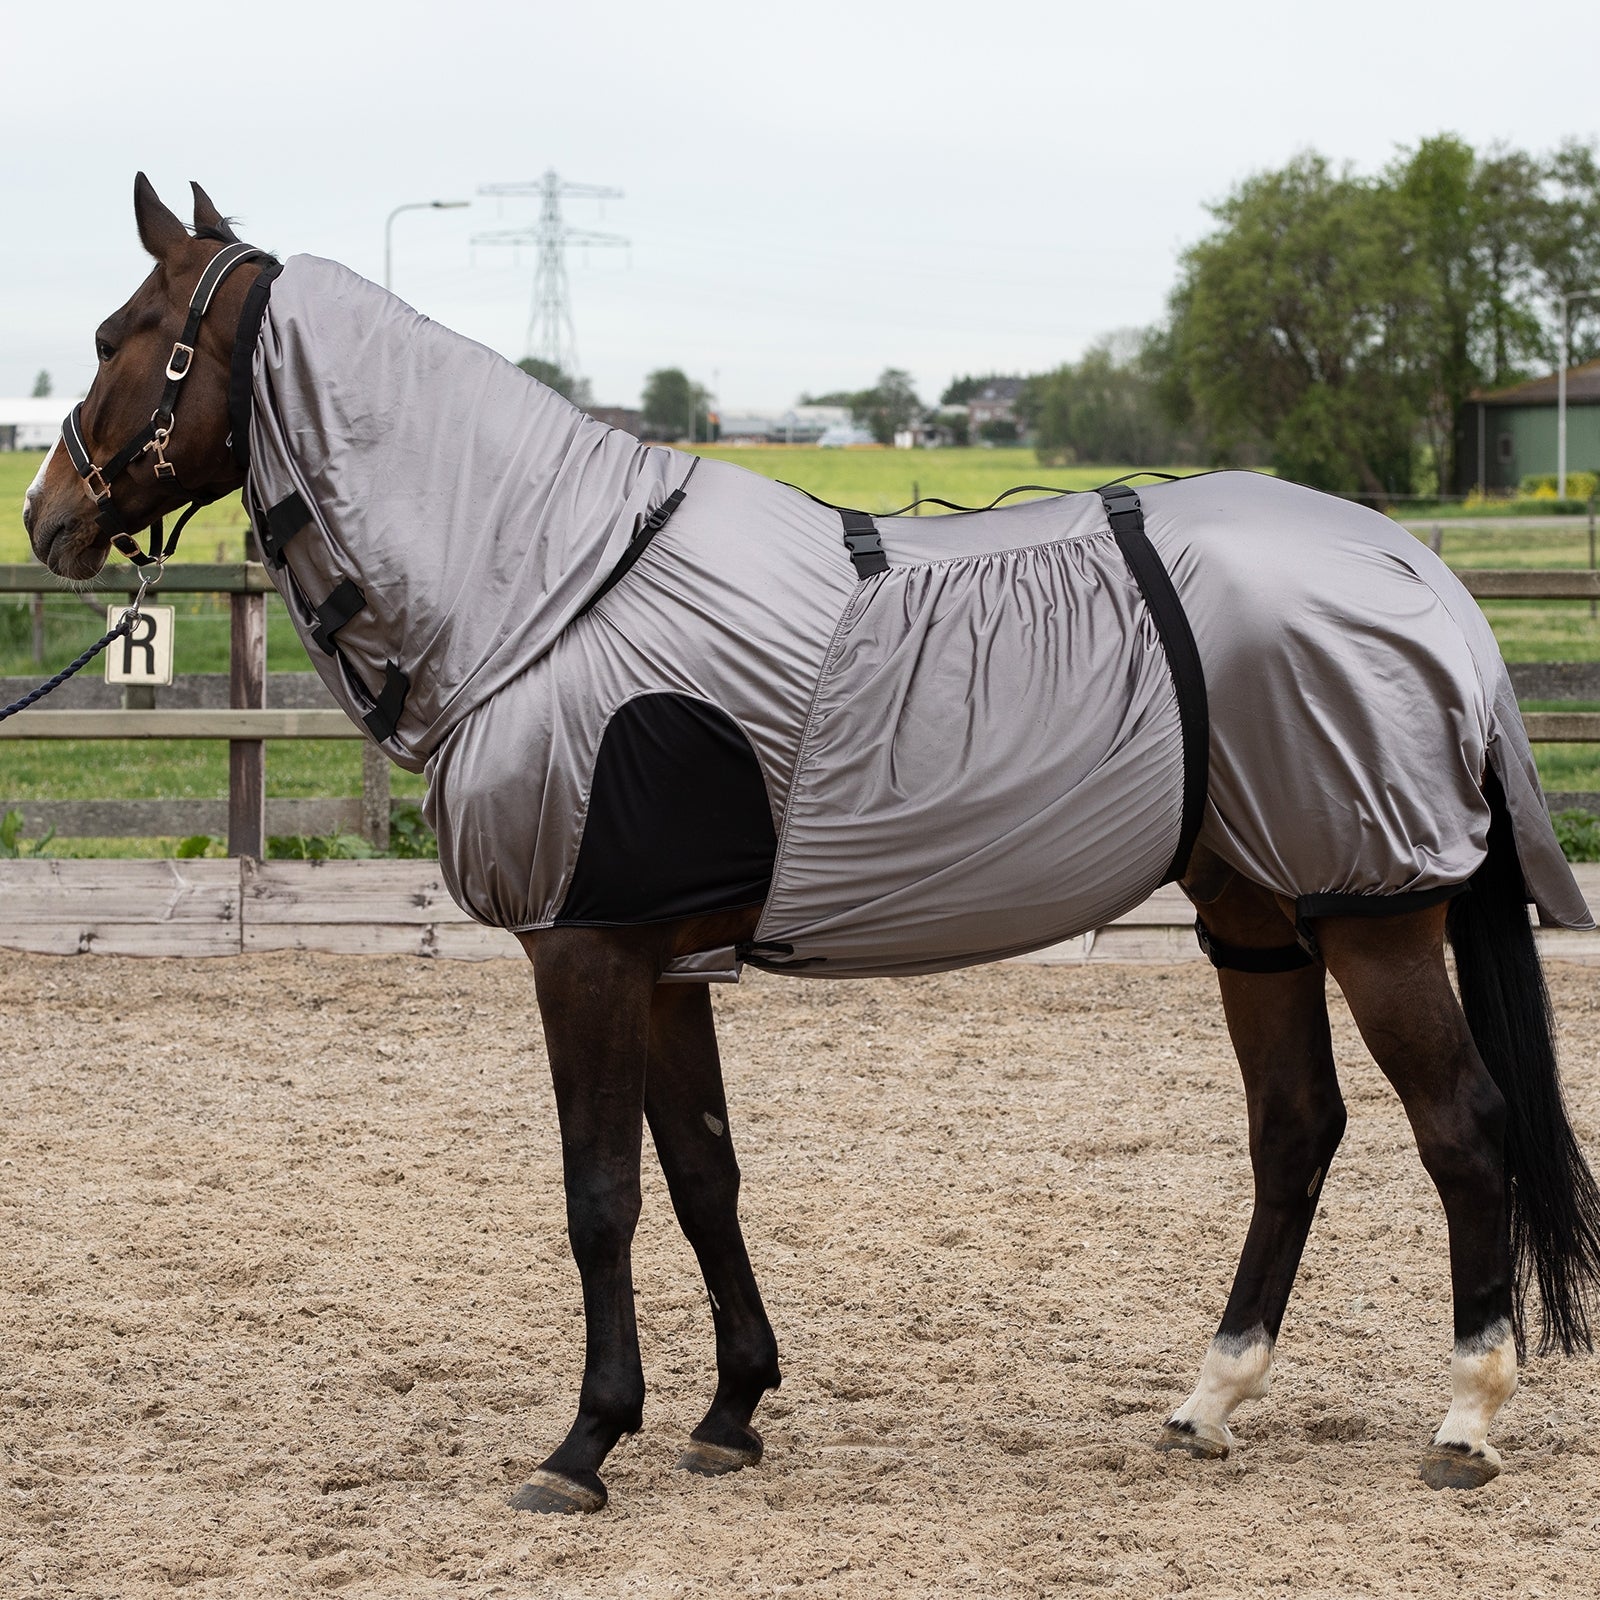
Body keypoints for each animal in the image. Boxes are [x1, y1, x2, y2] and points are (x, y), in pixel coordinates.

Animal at [21, 175, 1600, 1517]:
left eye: (119, 336)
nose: (48, 517)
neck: (551, 589)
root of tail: (1411, 569)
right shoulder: (664, 963)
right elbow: (700, 1174)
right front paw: (728, 1412)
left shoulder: (583, 951)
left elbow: (599, 1194)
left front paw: (584, 1443)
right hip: (1257, 915)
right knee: (1295, 1130)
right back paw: (1211, 1398)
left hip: (1371, 909)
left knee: (1461, 1129)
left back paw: (1466, 1417)